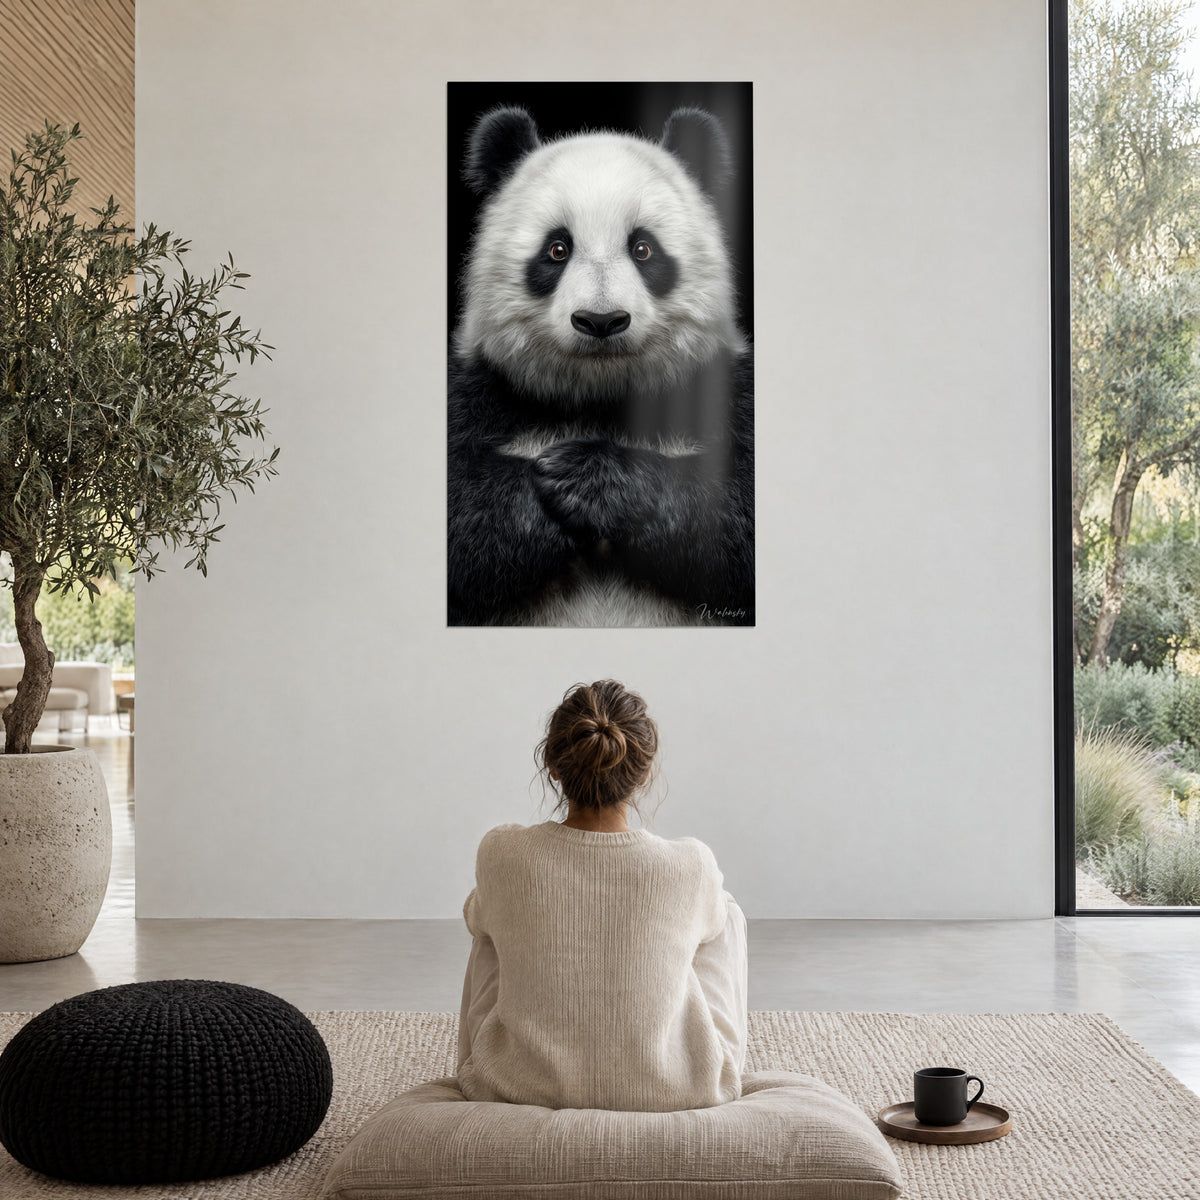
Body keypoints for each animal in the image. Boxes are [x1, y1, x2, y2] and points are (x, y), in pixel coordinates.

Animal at [448, 104, 754, 627]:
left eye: (643, 248)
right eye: (557, 248)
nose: (601, 320)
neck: (601, 397)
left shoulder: (728, 390)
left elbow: (737, 513)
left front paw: (589, 480)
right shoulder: (478, 394)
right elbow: (461, 514)